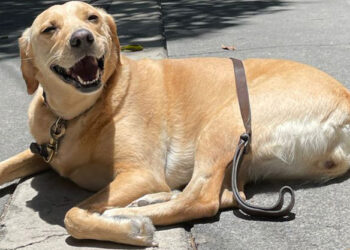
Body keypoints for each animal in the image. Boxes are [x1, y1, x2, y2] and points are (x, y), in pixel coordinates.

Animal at [0, 0, 350, 246]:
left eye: (92, 18)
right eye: (49, 29)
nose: (83, 38)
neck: (78, 113)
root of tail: (346, 102)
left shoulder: (141, 172)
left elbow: (72, 214)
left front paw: (129, 227)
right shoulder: (42, 149)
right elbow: (7, 165)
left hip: (225, 123)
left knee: (200, 199)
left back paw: (126, 213)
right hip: (240, 158)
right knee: (221, 195)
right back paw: (146, 201)